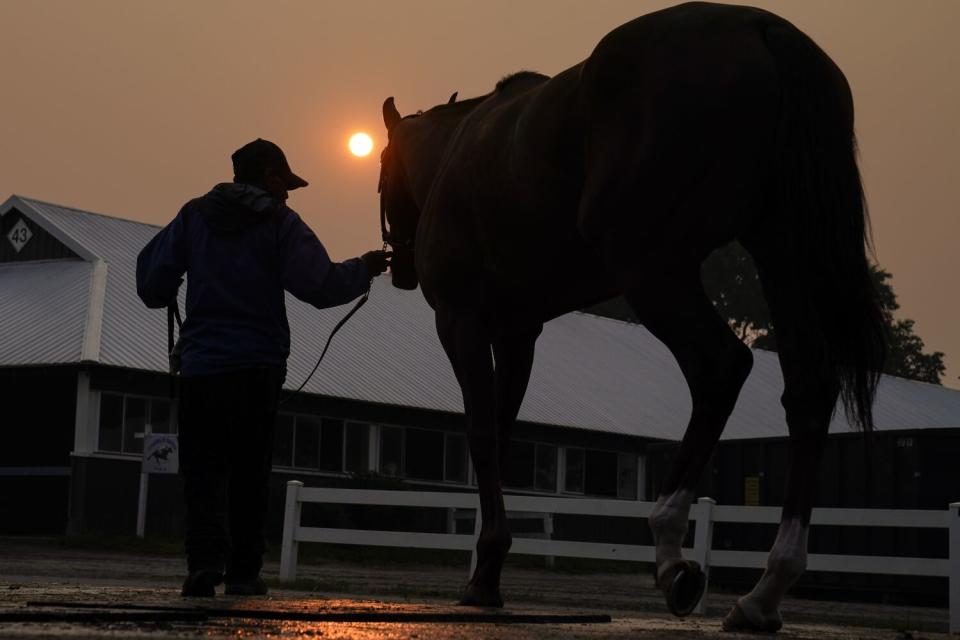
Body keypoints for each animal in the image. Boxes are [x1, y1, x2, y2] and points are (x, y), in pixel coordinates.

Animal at [376, 2, 884, 632]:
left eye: (382, 168)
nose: (399, 265)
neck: (459, 153)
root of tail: (761, 29)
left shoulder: (461, 322)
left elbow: (482, 433)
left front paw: (484, 574)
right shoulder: (518, 332)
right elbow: (502, 428)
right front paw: (487, 569)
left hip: (654, 271)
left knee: (720, 368)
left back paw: (672, 555)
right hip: (782, 258)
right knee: (808, 390)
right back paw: (764, 593)